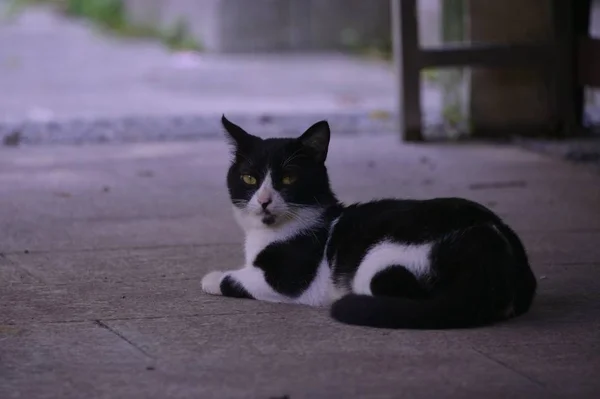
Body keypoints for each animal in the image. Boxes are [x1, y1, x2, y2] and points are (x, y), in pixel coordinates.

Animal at [202, 117, 540, 330]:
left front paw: (212, 278)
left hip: (380, 261)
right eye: (249, 178)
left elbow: (237, 278)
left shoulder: (290, 279)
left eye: (288, 178)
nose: (263, 200)